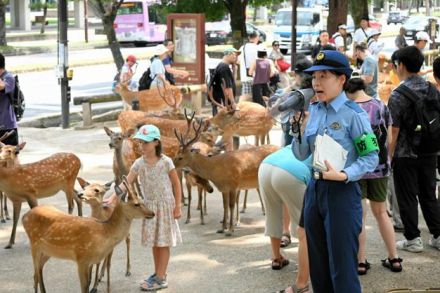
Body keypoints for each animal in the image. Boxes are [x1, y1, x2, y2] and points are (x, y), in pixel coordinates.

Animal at [21, 176, 155, 292]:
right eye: (136, 204)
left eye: (142, 200)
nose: (152, 213)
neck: (105, 231)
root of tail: (24, 217)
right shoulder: (81, 258)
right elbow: (84, 287)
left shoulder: (94, 259)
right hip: (34, 244)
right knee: (36, 272)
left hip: (47, 251)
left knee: (37, 272)